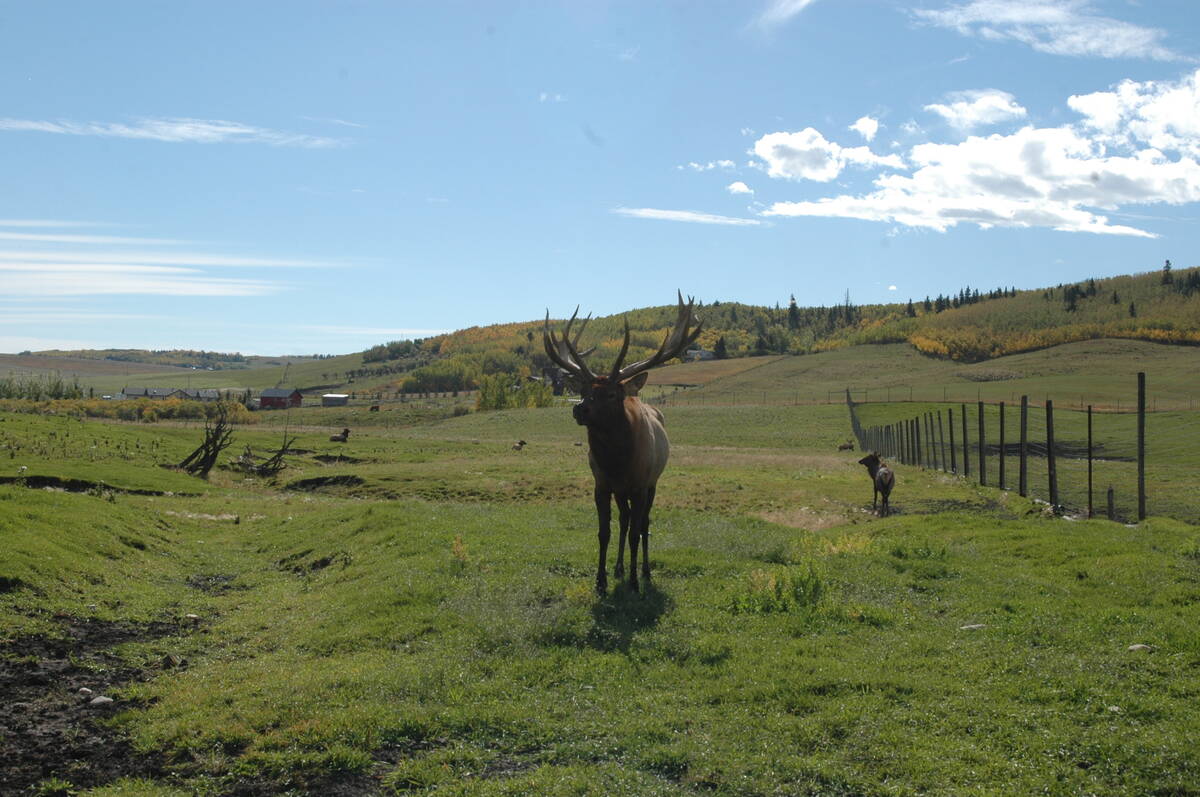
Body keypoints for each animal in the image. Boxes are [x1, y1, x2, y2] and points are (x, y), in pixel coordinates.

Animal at [544, 291, 702, 595]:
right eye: (584, 390)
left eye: (611, 394)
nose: (579, 409)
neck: (618, 463)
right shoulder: (602, 484)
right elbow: (604, 531)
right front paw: (601, 580)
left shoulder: (640, 485)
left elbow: (637, 532)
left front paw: (634, 581)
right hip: (621, 492)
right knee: (625, 520)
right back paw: (618, 567)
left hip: (651, 483)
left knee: (642, 524)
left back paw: (644, 571)